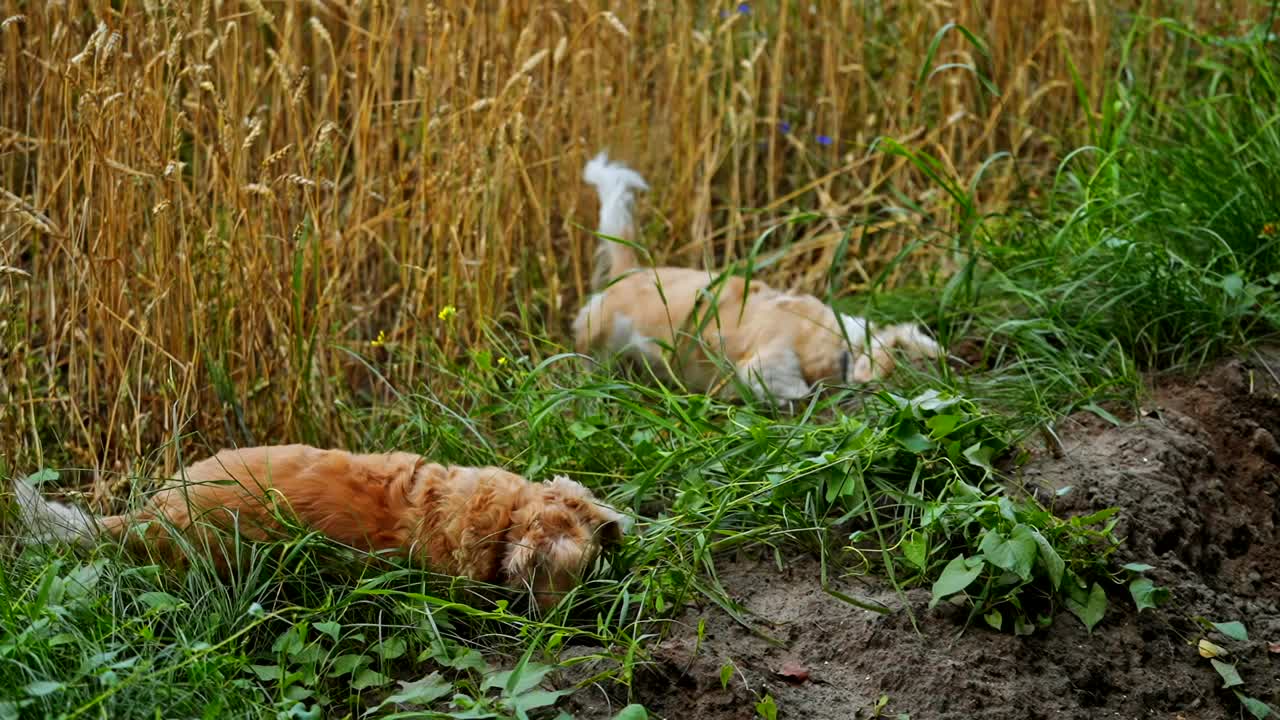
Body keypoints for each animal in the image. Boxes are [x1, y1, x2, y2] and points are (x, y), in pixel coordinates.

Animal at [570, 151, 942, 399]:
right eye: (910, 366)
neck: (837, 338)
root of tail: (632, 272)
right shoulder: (765, 367)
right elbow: (796, 389)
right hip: (597, 339)